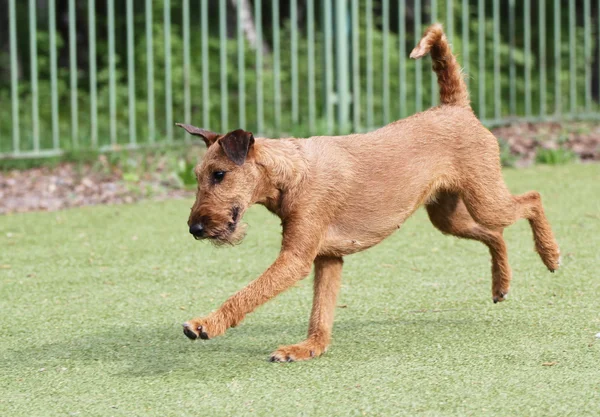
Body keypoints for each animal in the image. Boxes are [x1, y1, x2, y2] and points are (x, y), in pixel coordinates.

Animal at [176, 23, 560, 360]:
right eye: (197, 176)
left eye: (219, 174)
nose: (194, 228)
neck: (294, 172)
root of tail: (455, 107)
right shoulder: (327, 258)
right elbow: (321, 312)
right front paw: (309, 348)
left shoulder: (296, 259)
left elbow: (246, 294)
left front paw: (206, 323)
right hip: (449, 217)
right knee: (496, 235)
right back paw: (500, 284)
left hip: (486, 199)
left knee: (533, 199)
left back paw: (550, 254)